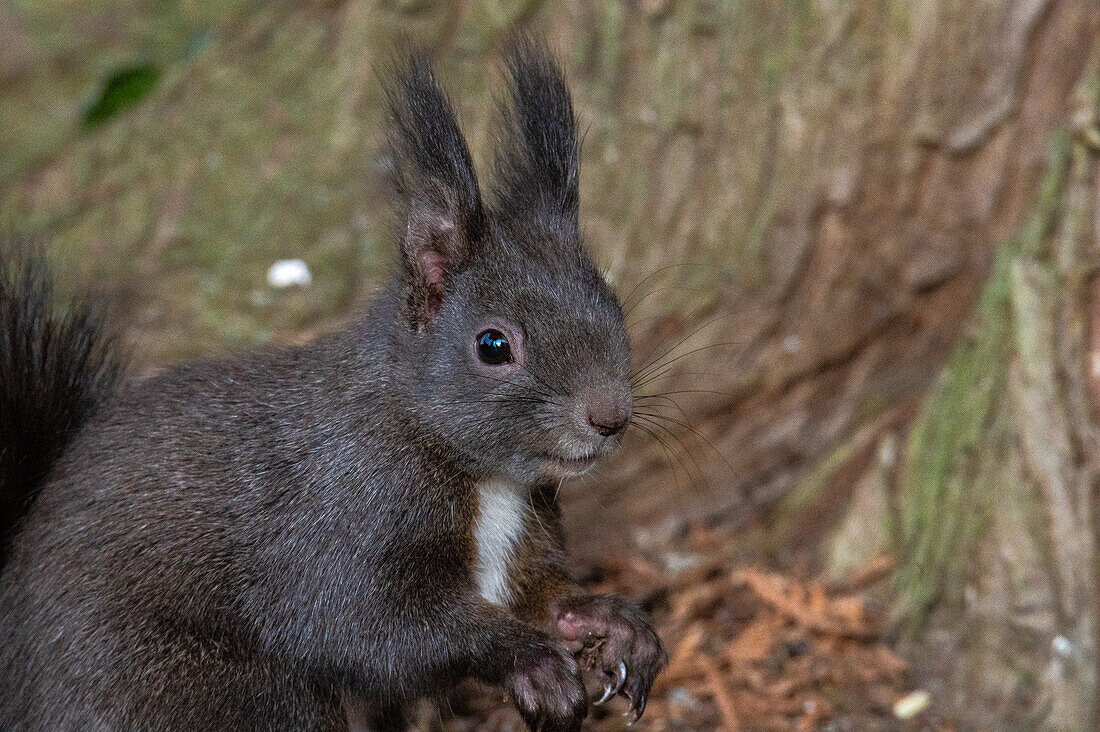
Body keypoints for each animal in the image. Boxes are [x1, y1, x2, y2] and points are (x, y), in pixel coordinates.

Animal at [0, 35, 660, 730]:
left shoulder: (520, 544)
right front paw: (531, 662)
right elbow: (365, 628)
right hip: (213, 694)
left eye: (612, 305)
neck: (488, 478)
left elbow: (542, 597)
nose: (610, 417)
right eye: (493, 345)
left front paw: (613, 624)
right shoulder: (340, 522)